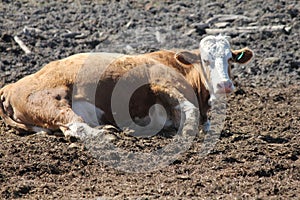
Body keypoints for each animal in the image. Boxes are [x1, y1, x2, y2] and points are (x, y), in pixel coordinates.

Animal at [0, 35, 253, 138]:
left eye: (230, 59)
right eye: (205, 60)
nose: (224, 85)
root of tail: (10, 87)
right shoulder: (161, 83)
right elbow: (190, 110)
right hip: (50, 101)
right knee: (76, 126)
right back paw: (107, 135)